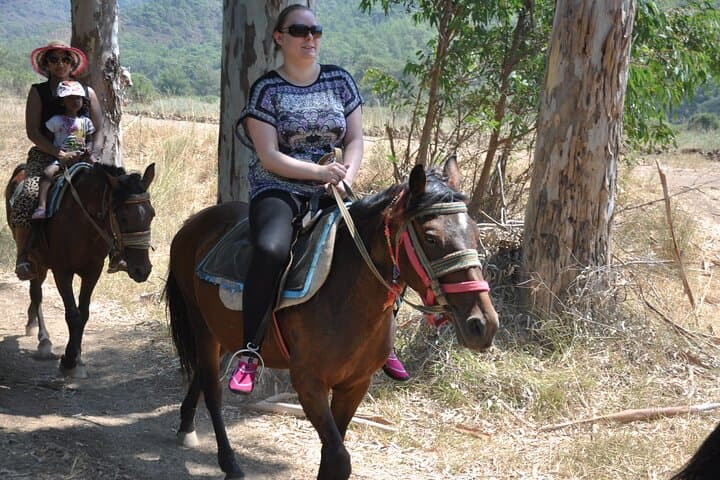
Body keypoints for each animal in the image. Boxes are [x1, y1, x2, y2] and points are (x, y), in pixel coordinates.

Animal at [4, 162, 156, 377]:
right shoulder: (62, 271)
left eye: (151, 214)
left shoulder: (93, 270)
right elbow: (73, 315)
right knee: (36, 293)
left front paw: (78, 358)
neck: (82, 222)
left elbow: (83, 314)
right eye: (123, 217)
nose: (142, 270)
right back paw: (44, 340)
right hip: (37, 261)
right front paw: (68, 361)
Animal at [165, 158, 499, 479]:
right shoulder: (309, 383)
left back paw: (186, 426)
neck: (347, 300)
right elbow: (338, 459)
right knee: (212, 390)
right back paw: (229, 462)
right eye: (430, 238)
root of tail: (193, 224)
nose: (483, 324)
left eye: (474, 232)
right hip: (202, 326)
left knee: (202, 375)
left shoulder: (355, 385)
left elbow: (332, 456)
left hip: (223, 330)